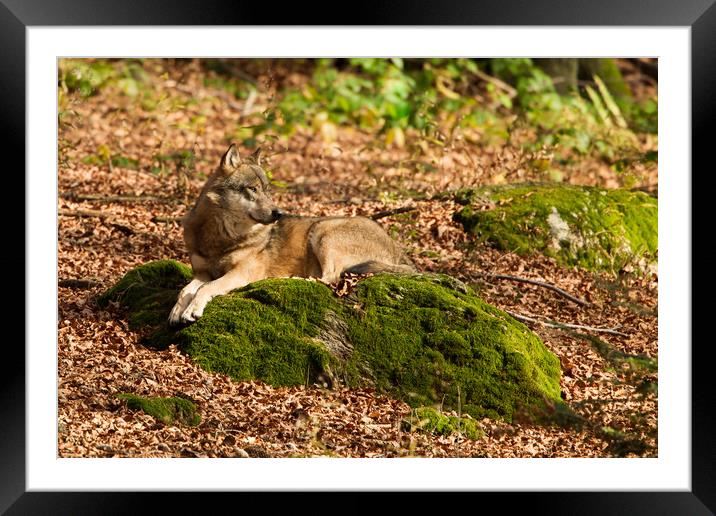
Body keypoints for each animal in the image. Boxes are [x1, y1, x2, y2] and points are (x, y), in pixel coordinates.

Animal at [169, 143, 414, 324]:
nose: (278, 213)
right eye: (252, 189)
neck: (221, 237)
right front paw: (176, 310)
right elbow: (186, 289)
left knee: (329, 278)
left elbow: (206, 288)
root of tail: (399, 251)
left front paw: (191, 309)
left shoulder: (240, 273)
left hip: (322, 230)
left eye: (267, 191)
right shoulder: (202, 272)